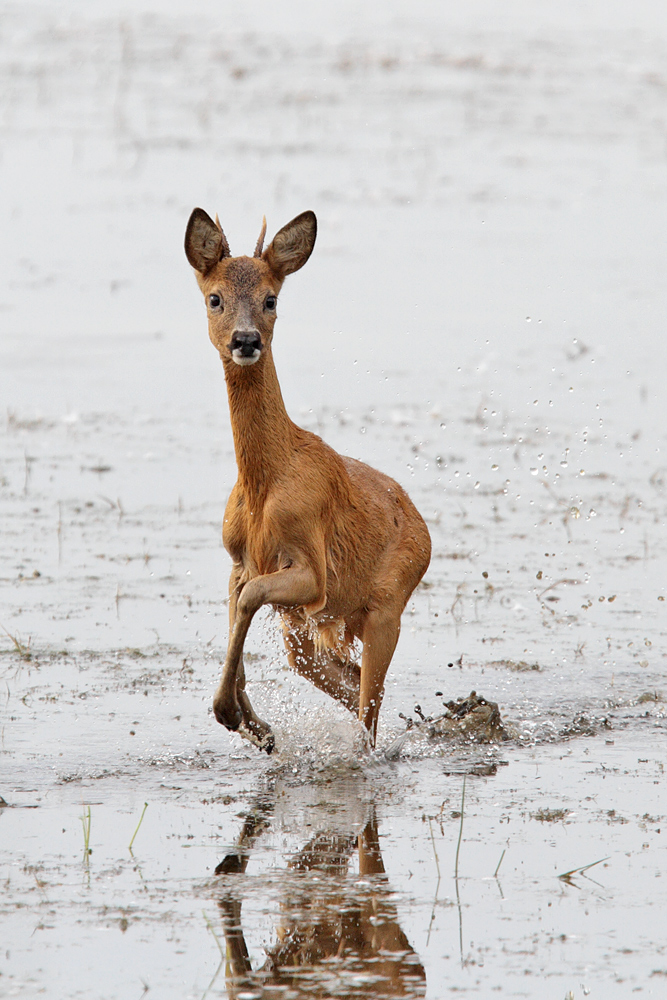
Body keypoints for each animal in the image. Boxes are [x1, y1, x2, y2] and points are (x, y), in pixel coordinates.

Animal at [184, 207, 434, 752]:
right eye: (214, 298)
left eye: (271, 298)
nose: (246, 341)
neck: (263, 485)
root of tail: (425, 530)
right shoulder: (239, 561)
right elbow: (237, 609)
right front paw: (256, 726)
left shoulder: (313, 570)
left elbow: (249, 601)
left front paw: (235, 715)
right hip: (310, 634)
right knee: (351, 682)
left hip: (386, 607)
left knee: (368, 706)